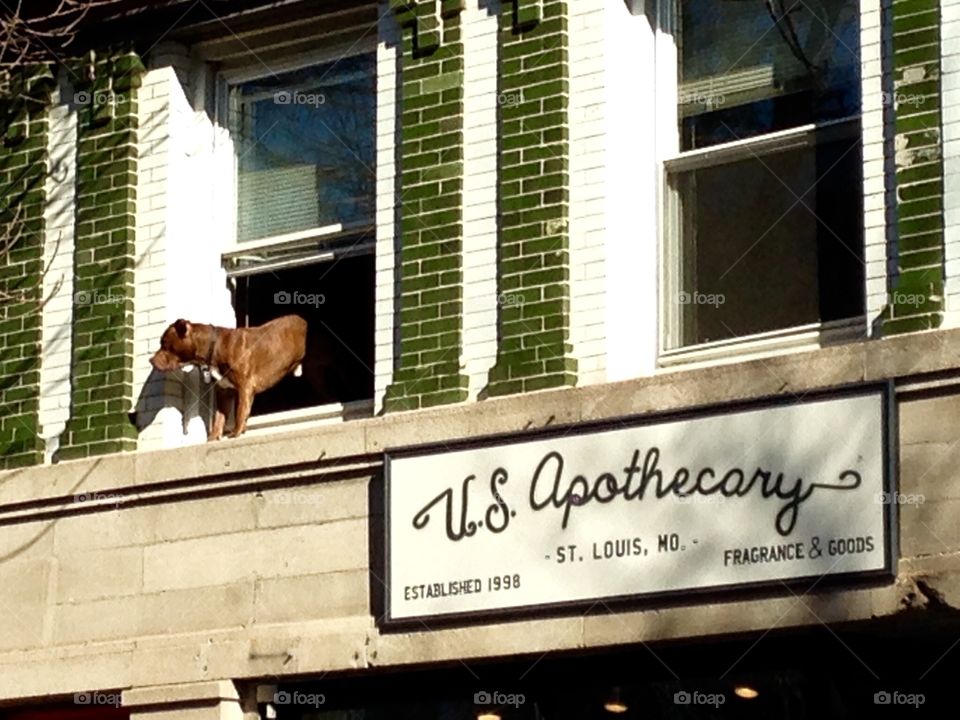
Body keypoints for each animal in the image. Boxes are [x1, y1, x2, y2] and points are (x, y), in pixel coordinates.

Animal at [151, 316, 308, 438]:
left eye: (164, 344)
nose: (150, 360)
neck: (214, 347)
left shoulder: (245, 386)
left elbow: (240, 412)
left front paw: (236, 433)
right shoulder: (224, 392)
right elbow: (219, 418)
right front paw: (214, 438)